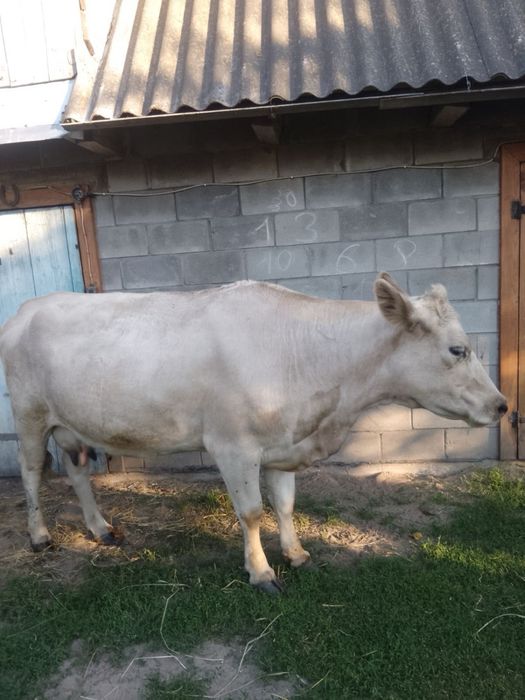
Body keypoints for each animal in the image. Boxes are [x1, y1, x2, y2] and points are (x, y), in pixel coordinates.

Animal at [0, 273, 507, 593]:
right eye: (457, 349)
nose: (502, 405)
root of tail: (27, 307)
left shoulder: (282, 444)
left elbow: (284, 504)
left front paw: (296, 553)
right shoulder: (232, 446)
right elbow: (251, 513)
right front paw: (262, 573)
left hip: (69, 421)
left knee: (77, 470)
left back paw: (101, 529)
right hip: (28, 412)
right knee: (31, 470)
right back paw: (40, 537)